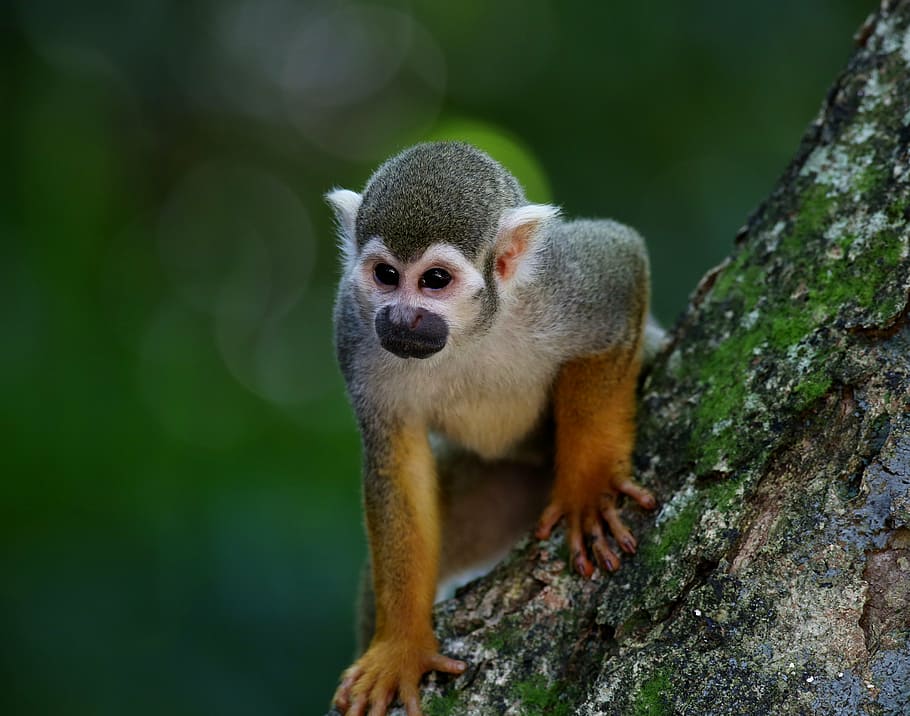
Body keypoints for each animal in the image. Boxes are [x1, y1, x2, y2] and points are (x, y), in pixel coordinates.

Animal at [326, 141, 661, 716]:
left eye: (435, 280)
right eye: (386, 275)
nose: (402, 319)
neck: (469, 334)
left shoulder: (564, 285)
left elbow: (622, 264)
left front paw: (588, 487)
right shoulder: (354, 326)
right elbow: (397, 463)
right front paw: (400, 646)